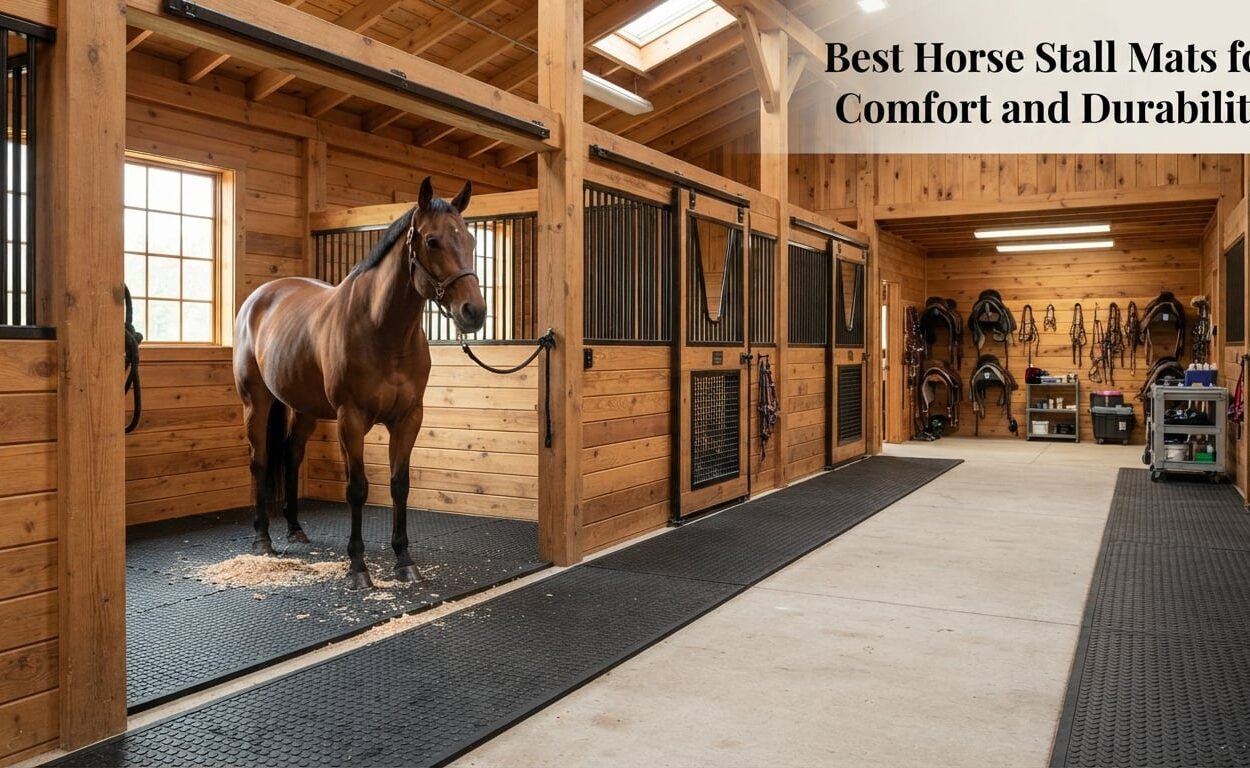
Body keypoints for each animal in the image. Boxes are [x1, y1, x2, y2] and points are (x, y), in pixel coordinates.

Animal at [233, 177, 486, 589]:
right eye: (433, 241)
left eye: (471, 240)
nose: (474, 312)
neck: (382, 330)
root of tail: (259, 297)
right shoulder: (350, 420)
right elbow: (357, 488)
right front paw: (358, 567)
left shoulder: (408, 419)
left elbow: (400, 484)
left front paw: (404, 561)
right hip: (256, 401)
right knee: (260, 460)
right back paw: (262, 538)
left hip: (303, 408)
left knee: (290, 454)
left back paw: (295, 528)